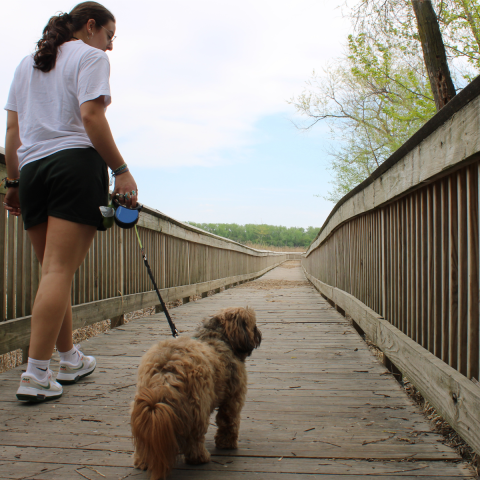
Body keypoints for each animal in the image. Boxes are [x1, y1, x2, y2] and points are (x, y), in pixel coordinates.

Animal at [129, 308, 260, 480]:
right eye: (253, 325)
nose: (259, 335)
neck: (219, 337)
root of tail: (166, 371)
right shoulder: (233, 399)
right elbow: (229, 422)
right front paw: (227, 444)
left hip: (141, 406)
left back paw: (142, 460)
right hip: (198, 407)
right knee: (194, 438)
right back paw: (200, 457)